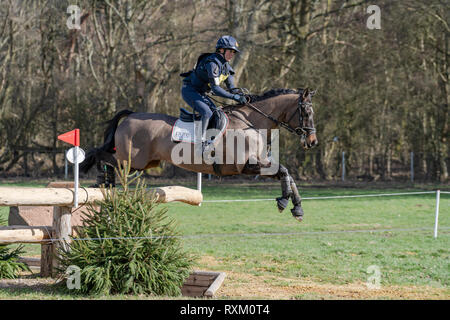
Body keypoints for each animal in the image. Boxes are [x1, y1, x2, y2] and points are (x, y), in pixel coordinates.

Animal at [81, 88, 320, 222]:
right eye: (306, 112)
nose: (312, 142)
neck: (251, 122)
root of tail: (131, 116)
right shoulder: (247, 166)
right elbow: (284, 171)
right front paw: (283, 201)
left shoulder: (260, 164)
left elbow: (287, 175)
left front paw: (297, 208)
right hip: (132, 161)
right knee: (103, 156)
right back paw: (102, 182)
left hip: (146, 162)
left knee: (107, 158)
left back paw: (105, 185)